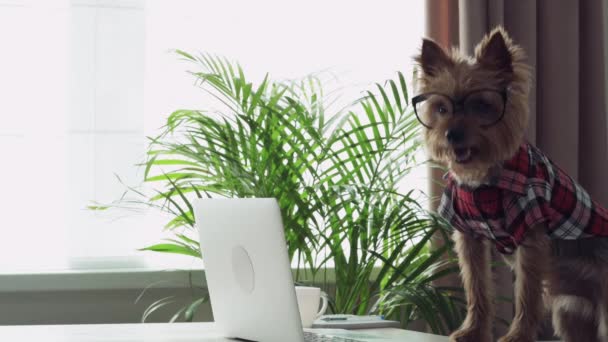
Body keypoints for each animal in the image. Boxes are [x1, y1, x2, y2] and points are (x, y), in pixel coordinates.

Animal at [416, 27, 608, 342]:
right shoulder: (468, 235)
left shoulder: (531, 234)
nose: (451, 134)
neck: (483, 180)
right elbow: (476, 285)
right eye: (441, 108)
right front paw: (473, 330)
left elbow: (526, 293)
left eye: (481, 105)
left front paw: (518, 335)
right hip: (572, 310)